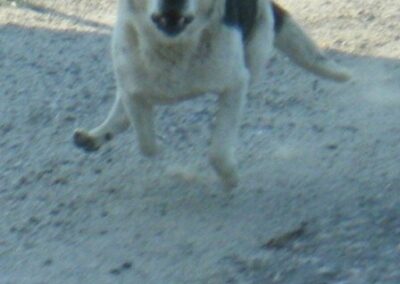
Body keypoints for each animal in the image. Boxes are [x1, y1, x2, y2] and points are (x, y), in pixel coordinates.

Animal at [73, 0, 352, 189]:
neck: (174, 48)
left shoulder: (235, 86)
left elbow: (218, 150)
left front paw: (229, 177)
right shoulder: (132, 87)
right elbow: (146, 142)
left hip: (257, 47)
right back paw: (94, 136)